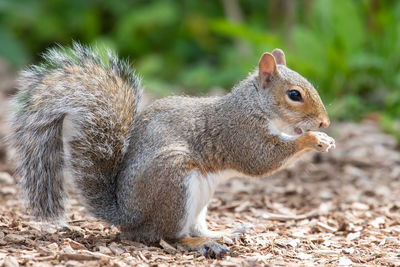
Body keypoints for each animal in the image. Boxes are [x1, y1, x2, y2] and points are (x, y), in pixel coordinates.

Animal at [9, 43, 334, 260]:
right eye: (294, 95)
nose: (325, 122)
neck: (255, 105)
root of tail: (127, 216)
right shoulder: (240, 133)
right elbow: (261, 160)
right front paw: (313, 139)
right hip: (174, 183)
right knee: (167, 236)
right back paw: (201, 244)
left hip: (198, 199)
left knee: (191, 229)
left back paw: (219, 233)